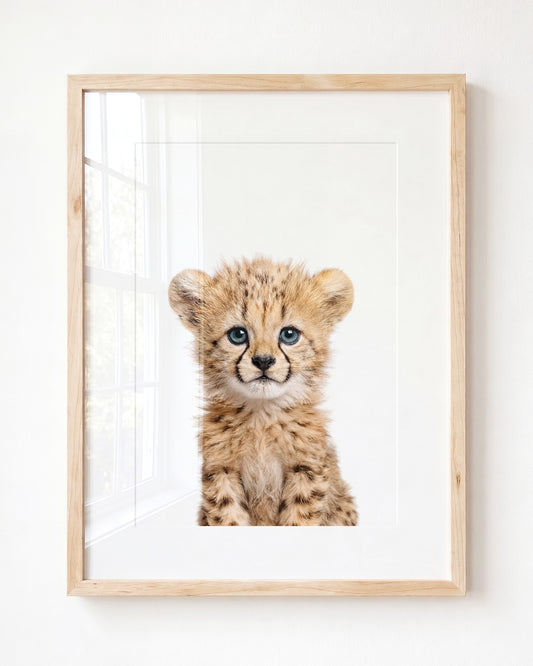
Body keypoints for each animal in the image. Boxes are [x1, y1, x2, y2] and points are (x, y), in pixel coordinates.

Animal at [168, 256, 358, 526]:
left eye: (289, 335)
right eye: (238, 335)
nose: (264, 361)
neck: (262, 415)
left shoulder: (306, 469)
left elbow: (299, 519)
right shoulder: (221, 470)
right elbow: (228, 517)